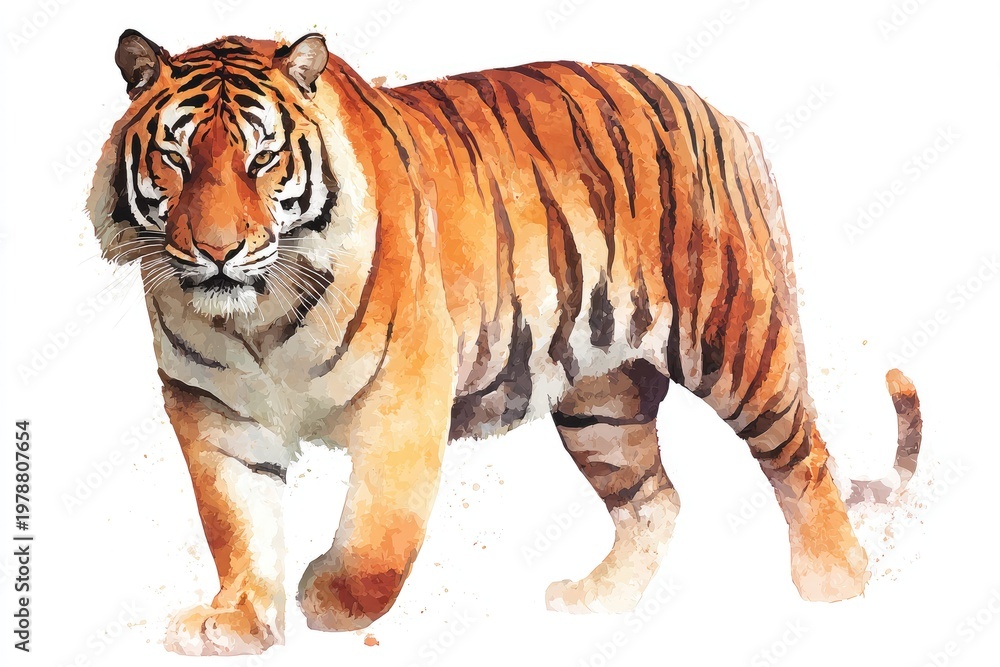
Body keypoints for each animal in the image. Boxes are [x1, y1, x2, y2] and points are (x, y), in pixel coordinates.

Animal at [88, 30, 923, 656]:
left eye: (262, 159)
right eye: (175, 158)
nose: (218, 249)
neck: (253, 317)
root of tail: (724, 116)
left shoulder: (404, 392)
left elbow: (379, 533)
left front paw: (329, 600)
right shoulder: (214, 410)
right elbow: (237, 523)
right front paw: (238, 621)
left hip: (737, 343)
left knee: (802, 457)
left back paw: (834, 580)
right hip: (602, 400)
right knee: (654, 497)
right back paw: (598, 600)